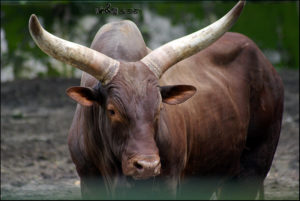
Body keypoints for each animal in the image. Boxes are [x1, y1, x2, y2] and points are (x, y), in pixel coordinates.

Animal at [28, 0, 284, 199]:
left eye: (160, 107)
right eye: (112, 110)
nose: (148, 166)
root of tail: (265, 63)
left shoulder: (168, 182)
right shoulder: (88, 181)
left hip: (254, 166)